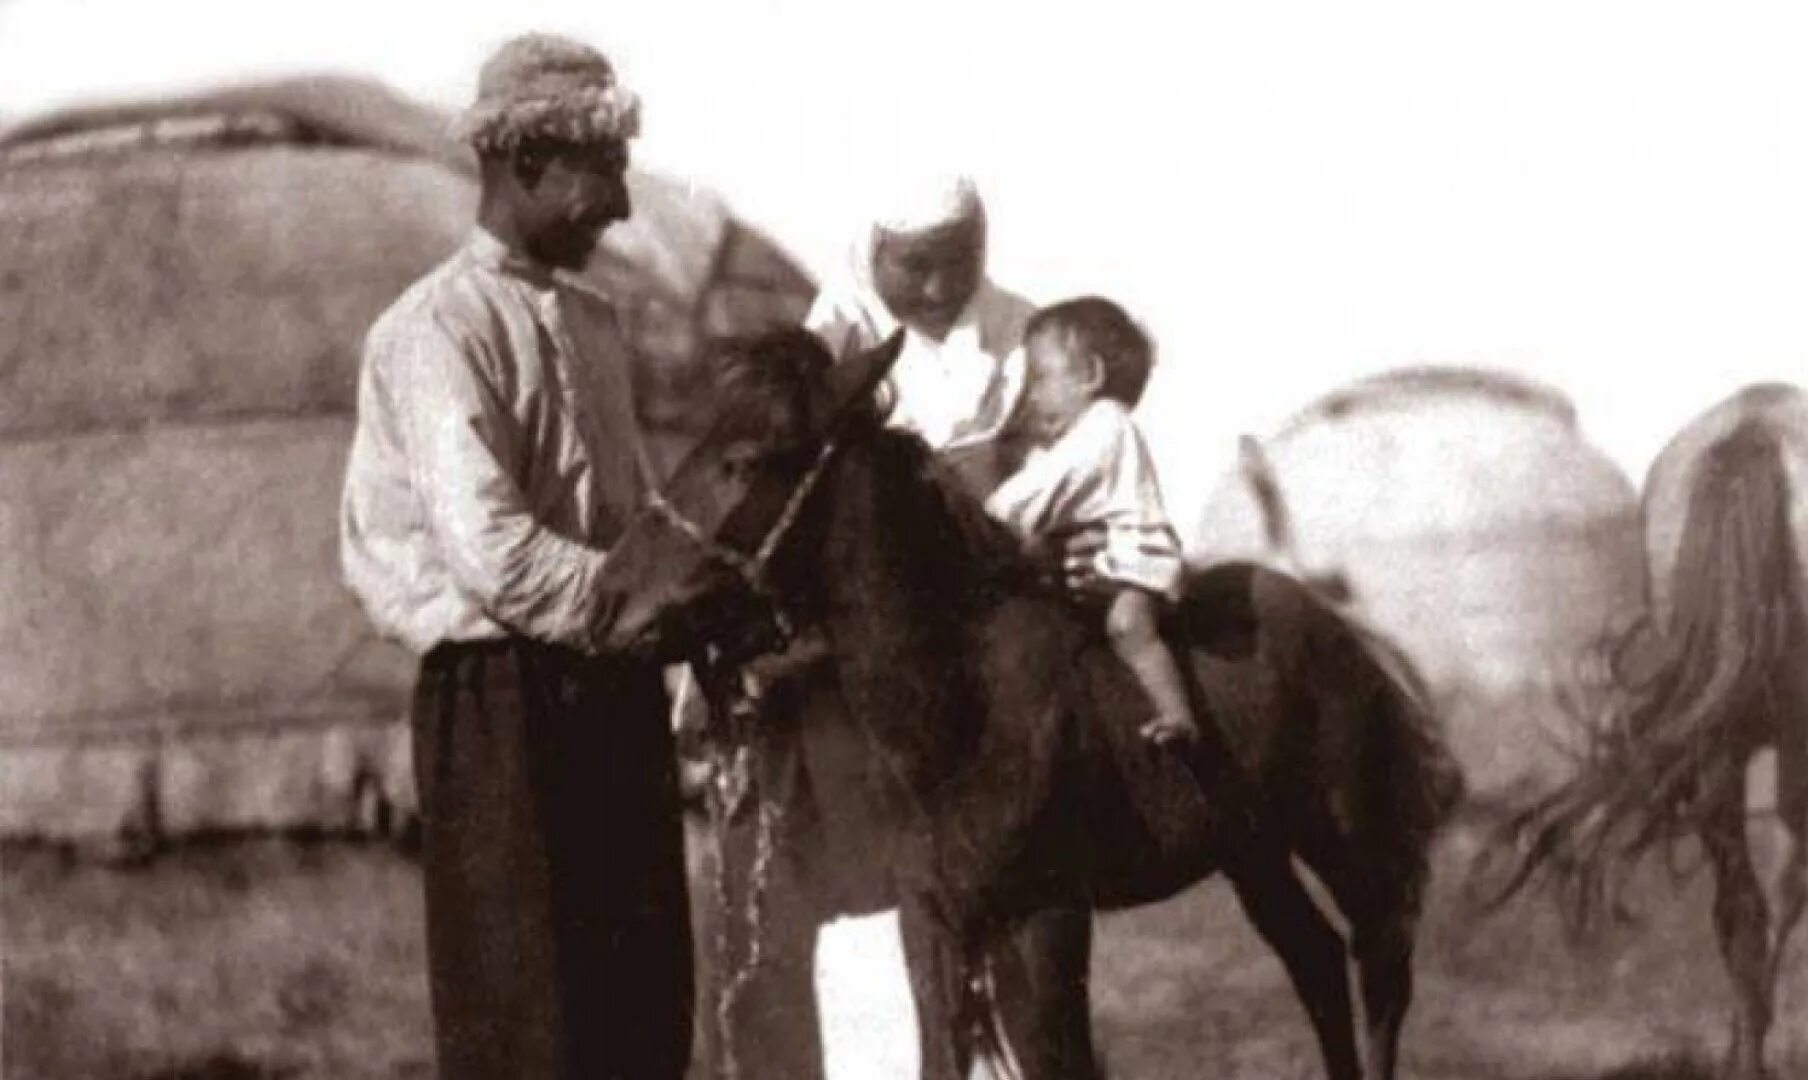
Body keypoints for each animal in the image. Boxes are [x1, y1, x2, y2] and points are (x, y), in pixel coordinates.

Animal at [600, 329, 1460, 1078]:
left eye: (743, 461)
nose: (611, 595)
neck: (962, 705)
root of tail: (1341, 630)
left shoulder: (1045, 918)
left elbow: (1061, 1061)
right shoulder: (932, 920)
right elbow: (938, 1057)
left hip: (1346, 838)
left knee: (1382, 969)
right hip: (1252, 851)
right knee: (1315, 961)